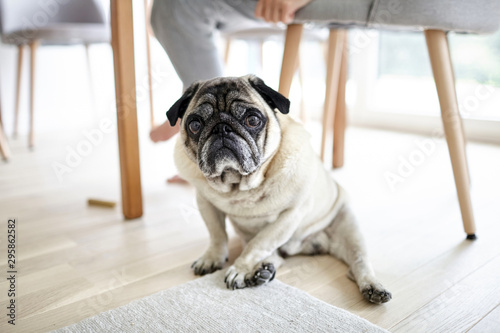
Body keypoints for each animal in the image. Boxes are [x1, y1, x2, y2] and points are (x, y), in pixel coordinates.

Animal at [167, 74, 390, 302]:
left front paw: (240, 268)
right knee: (275, 256)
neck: (240, 185)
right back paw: (261, 271)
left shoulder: (291, 214)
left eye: (253, 120)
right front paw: (212, 258)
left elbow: (259, 242)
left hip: (350, 229)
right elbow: (217, 234)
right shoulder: (206, 203)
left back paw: (372, 286)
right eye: (195, 125)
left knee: (359, 262)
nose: (221, 128)